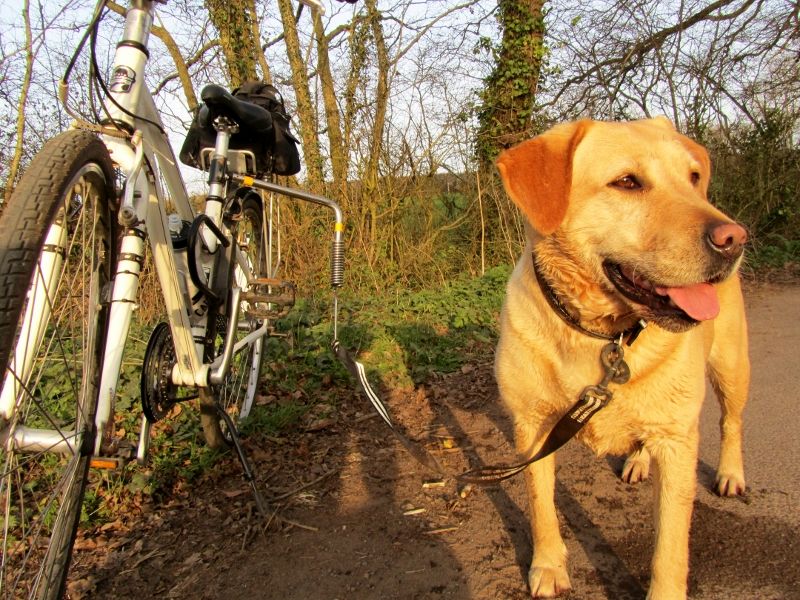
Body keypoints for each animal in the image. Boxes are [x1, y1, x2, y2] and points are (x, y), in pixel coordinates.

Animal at [494, 118, 752, 600]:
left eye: (693, 177)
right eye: (627, 182)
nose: (734, 239)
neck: (601, 333)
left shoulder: (677, 441)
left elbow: (670, 544)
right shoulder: (533, 425)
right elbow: (541, 504)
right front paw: (548, 567)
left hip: (731, 365)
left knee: (732, 422)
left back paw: (730, 473)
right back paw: (637, 460)